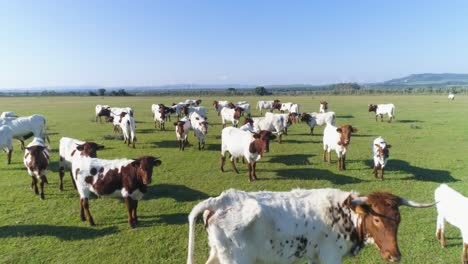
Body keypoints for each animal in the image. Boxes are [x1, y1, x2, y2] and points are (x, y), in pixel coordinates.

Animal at [187, 188, 436, 264]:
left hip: (218, 254)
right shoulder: (330, 256)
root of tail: (220, 200)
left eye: (398, 219)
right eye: (376, 219)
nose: (395, 255)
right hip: (236, 259)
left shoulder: (315, 256)